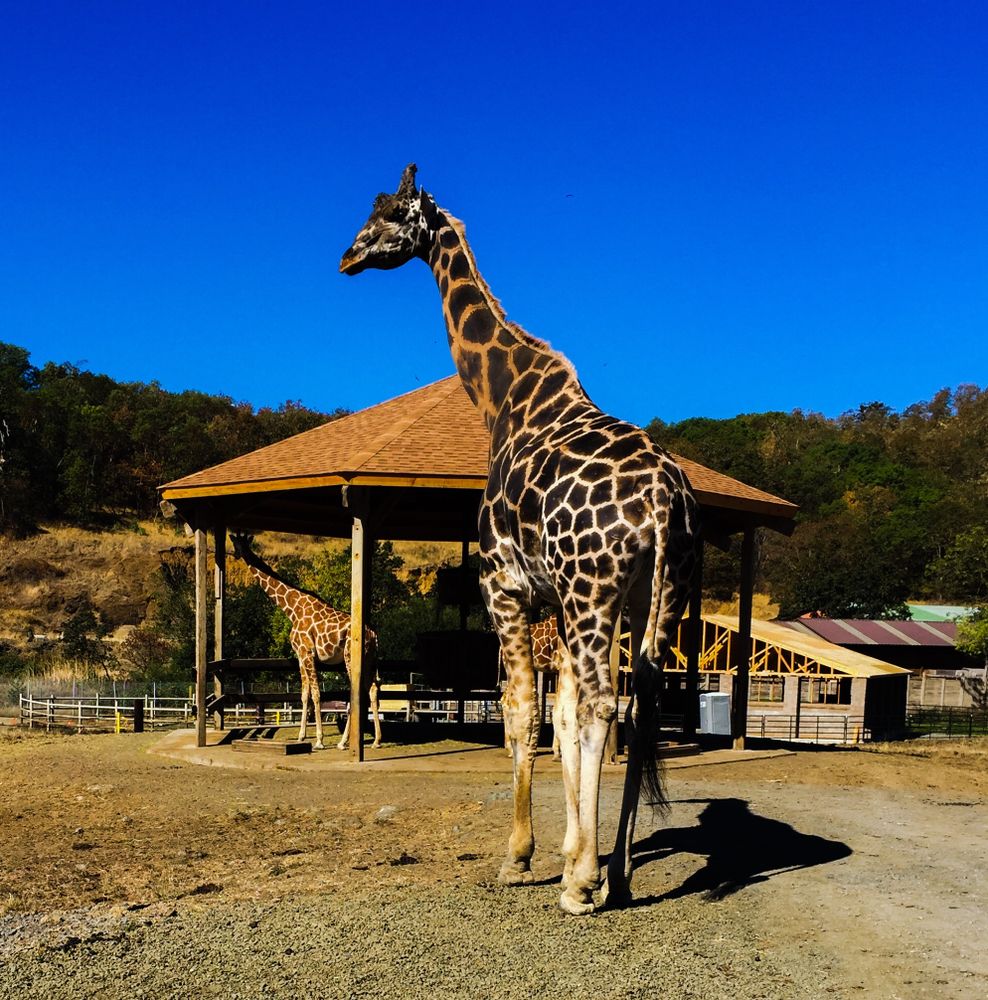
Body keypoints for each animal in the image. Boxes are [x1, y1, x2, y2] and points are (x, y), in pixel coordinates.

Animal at [228, 533, 382, 751]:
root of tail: (373, 635)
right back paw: (376, 740)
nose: (235, 554)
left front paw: (319, 740)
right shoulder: (300, 655)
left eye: (236, 543)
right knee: (373, 690)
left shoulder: (307, 652)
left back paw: (343, 742)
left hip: (351, 657)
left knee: (357, 693)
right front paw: (301, 736)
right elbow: (304, 694)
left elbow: (316, 694)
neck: (292, 608)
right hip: (370, 658)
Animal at [340, 164, 699, 914]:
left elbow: (522, 713)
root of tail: (662, 500)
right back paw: (619, 871)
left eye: (387, 213)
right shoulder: (556, 602)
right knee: (639, 701)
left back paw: (585, 886)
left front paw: (523, 857)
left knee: (602, 702)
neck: (502, 399)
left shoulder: (504, 588)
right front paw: (567, 853)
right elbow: (558, 719)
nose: (346, 257)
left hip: (594, 590)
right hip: (652, 595)